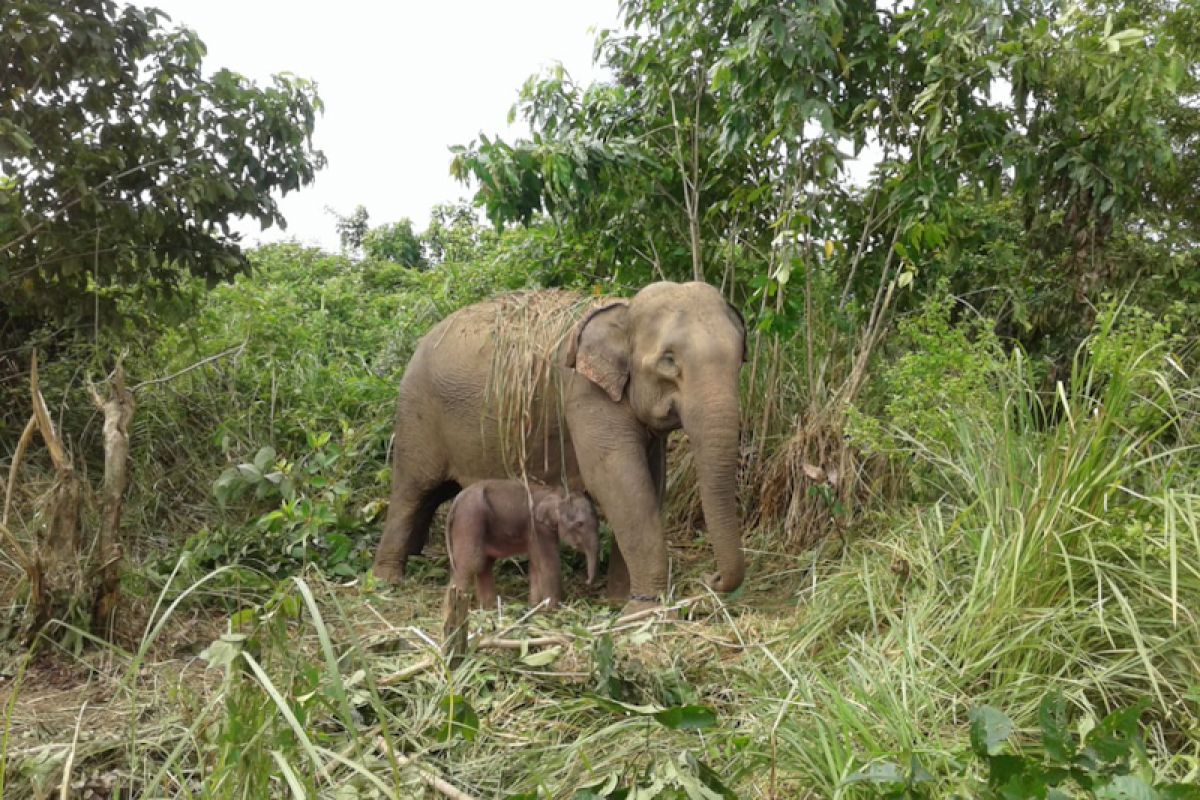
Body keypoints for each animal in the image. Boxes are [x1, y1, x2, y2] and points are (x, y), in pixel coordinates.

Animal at [446, 482, 600, 606]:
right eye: (580, 524)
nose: (587, 581)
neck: (557, 492)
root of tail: (455, 501)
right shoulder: (538, 528)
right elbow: (548, 563)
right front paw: (552, 609)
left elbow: (536, 563)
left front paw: (534, 607)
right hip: (469, 521)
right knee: (472, 564)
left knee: (484, 565)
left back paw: (489, 609)